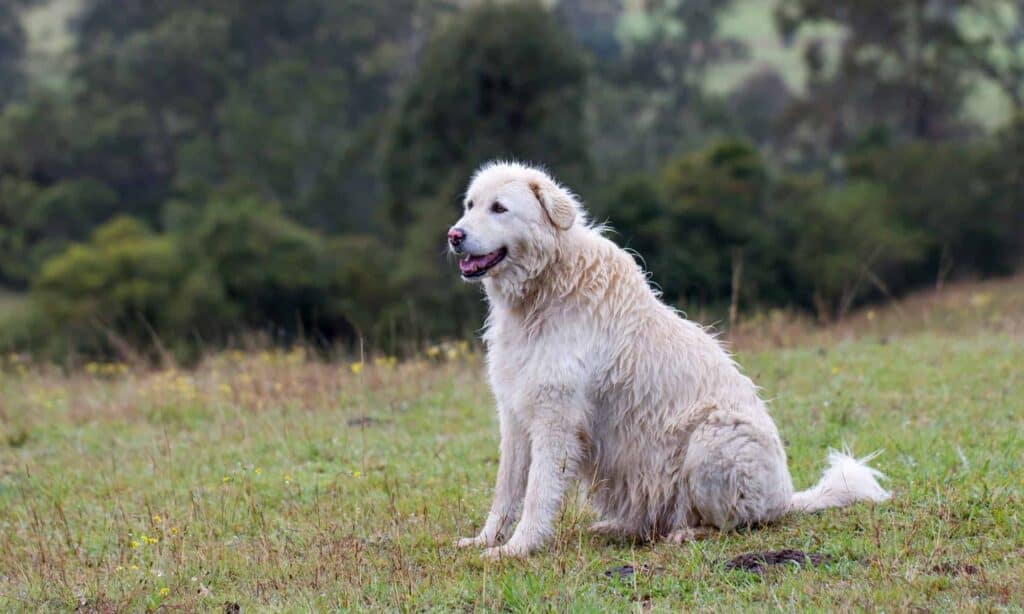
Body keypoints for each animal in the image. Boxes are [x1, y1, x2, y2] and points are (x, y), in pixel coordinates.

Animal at [448, 160, 888, 560]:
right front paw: (484, 541)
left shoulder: (555, 419)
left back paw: (688, 534)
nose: (454, 235)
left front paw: (517, 549)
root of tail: (786, 499)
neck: (544, 288)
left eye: (500, 208)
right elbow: (506, 492)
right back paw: (616, 527)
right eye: (470, 205)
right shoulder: (515, 416)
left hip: (712, 440)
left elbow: (537, 493)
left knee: (735, 522)